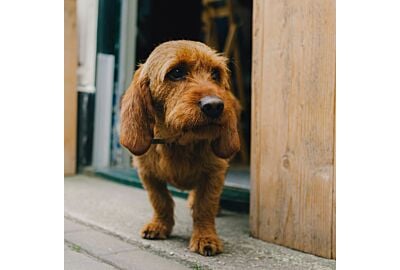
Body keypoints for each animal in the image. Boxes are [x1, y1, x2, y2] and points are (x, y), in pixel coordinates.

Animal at [119, 39, 241, 255]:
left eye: (215, 74)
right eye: (176, 72)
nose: (215, 105)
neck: (180, 141)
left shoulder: (214, 172)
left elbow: (205, 206)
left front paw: (205, 237)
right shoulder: (147, 174)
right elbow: (160, 200)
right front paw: (160, 225)